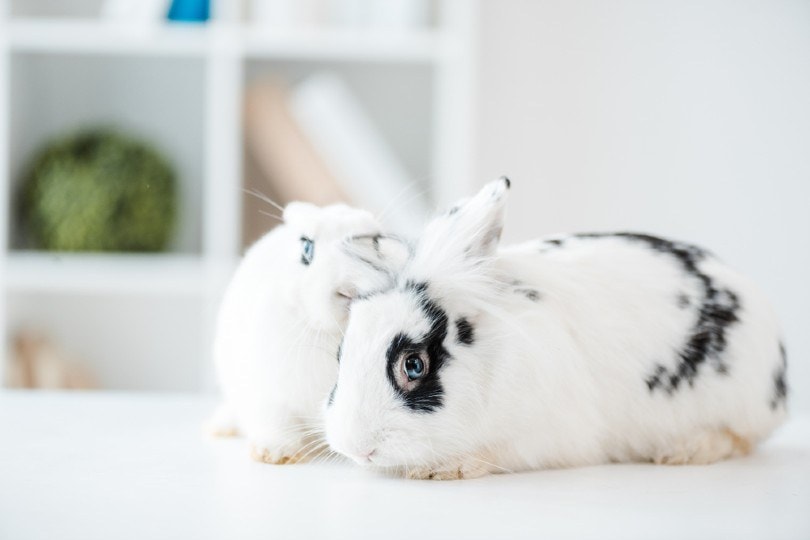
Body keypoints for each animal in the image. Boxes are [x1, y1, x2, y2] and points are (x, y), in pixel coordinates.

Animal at [209, 201, 410, 464]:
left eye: (376, 244)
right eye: (306, 248)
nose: (348, 290)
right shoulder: (269, 392)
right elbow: (277, 419)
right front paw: (274, 453)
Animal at [324, 177, 787, 479]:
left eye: (414, 365)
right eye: (340, 354)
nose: (357, 447)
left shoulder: (543, 436)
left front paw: (448, 468)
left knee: (741, 438)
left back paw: (685, 451)